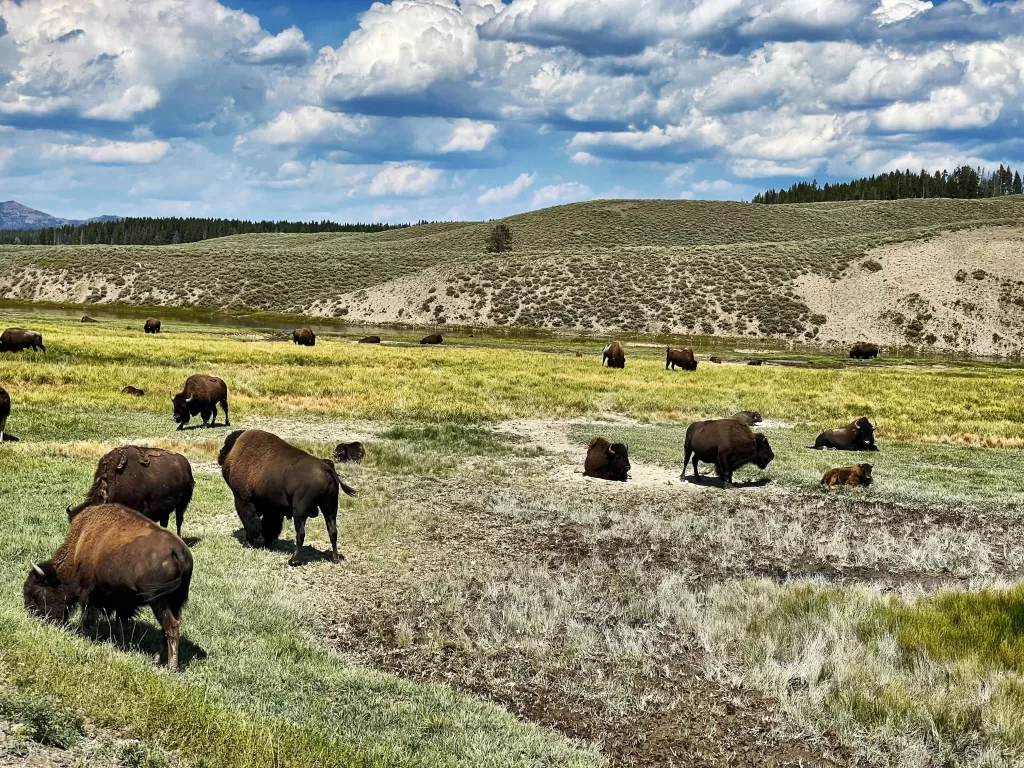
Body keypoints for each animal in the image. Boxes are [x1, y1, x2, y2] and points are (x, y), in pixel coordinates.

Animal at [24, 503, 192, 671]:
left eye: (36, 593)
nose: (34, 616)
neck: (79, 546)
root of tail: (177, 551)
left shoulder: (89, 595)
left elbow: (87, 618)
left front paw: (86, 637)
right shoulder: (124, 603)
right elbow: (121, 624)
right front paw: (123, 646)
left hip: (158, 602)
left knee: (171, 627)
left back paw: (171, 667)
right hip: (175, 603)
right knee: (165, 630)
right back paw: (159, 661)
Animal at [219, 430, 356, 566]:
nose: (221, 458)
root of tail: (326, 468)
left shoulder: (243, 500)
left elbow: (251, 522)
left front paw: (250, 542)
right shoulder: (273, 509)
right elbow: (270, 526)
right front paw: (267, 543)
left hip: (300, 512)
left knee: (301, 534)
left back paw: (293, 560)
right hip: (330, 509)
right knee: (332, 531)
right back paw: (335, 558)